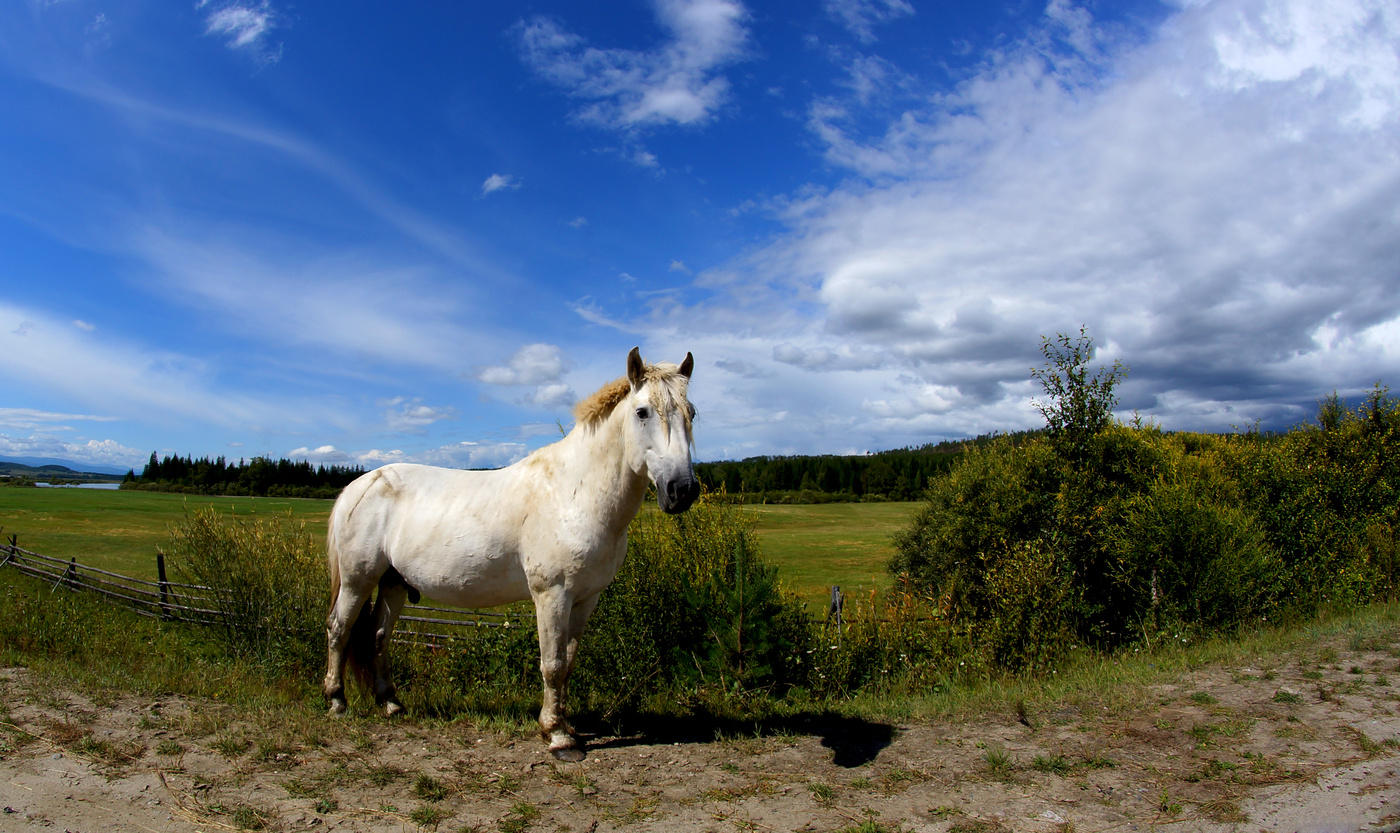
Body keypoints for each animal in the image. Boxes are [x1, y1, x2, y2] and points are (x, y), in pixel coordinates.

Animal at [322, 347, 699, 761]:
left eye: (692, 412)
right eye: (642, 412)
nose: (682, 490)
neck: (574, 493)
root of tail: (357, 486)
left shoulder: (586, 598)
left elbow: (568, 662)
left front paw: (567, 727)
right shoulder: (552, 595)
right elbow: (552, 664)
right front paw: (558, 737)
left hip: (393, 583)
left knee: (378, 635)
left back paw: (391, 703)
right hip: (358, 581)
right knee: (339, 629)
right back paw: (337, 702)